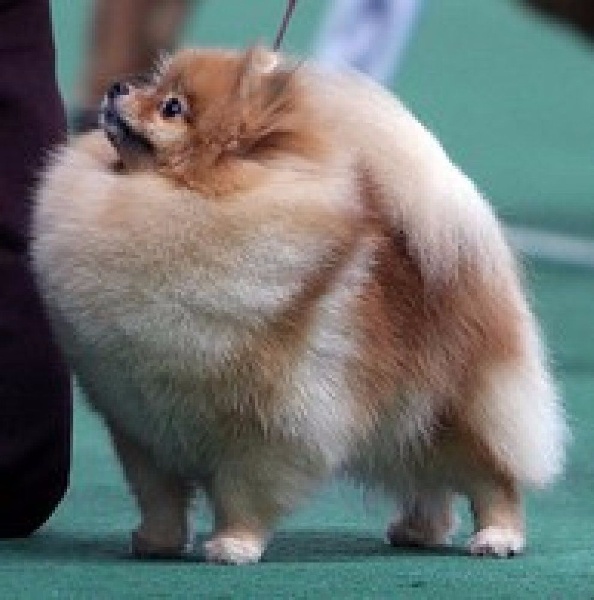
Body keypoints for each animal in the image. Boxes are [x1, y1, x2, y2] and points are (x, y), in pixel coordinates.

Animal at [31, 46, 566, 564]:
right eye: (152, 85)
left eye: (172, 107)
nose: (117, 86)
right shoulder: (141, 429)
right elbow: (158, 498)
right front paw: (156, 543)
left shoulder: (260, 430)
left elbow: (241, 494)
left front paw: (233, 547)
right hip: (404, 419)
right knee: (428, 480)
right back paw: (418, 532)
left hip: (454, 411)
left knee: (492, 477)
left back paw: (497, 537)